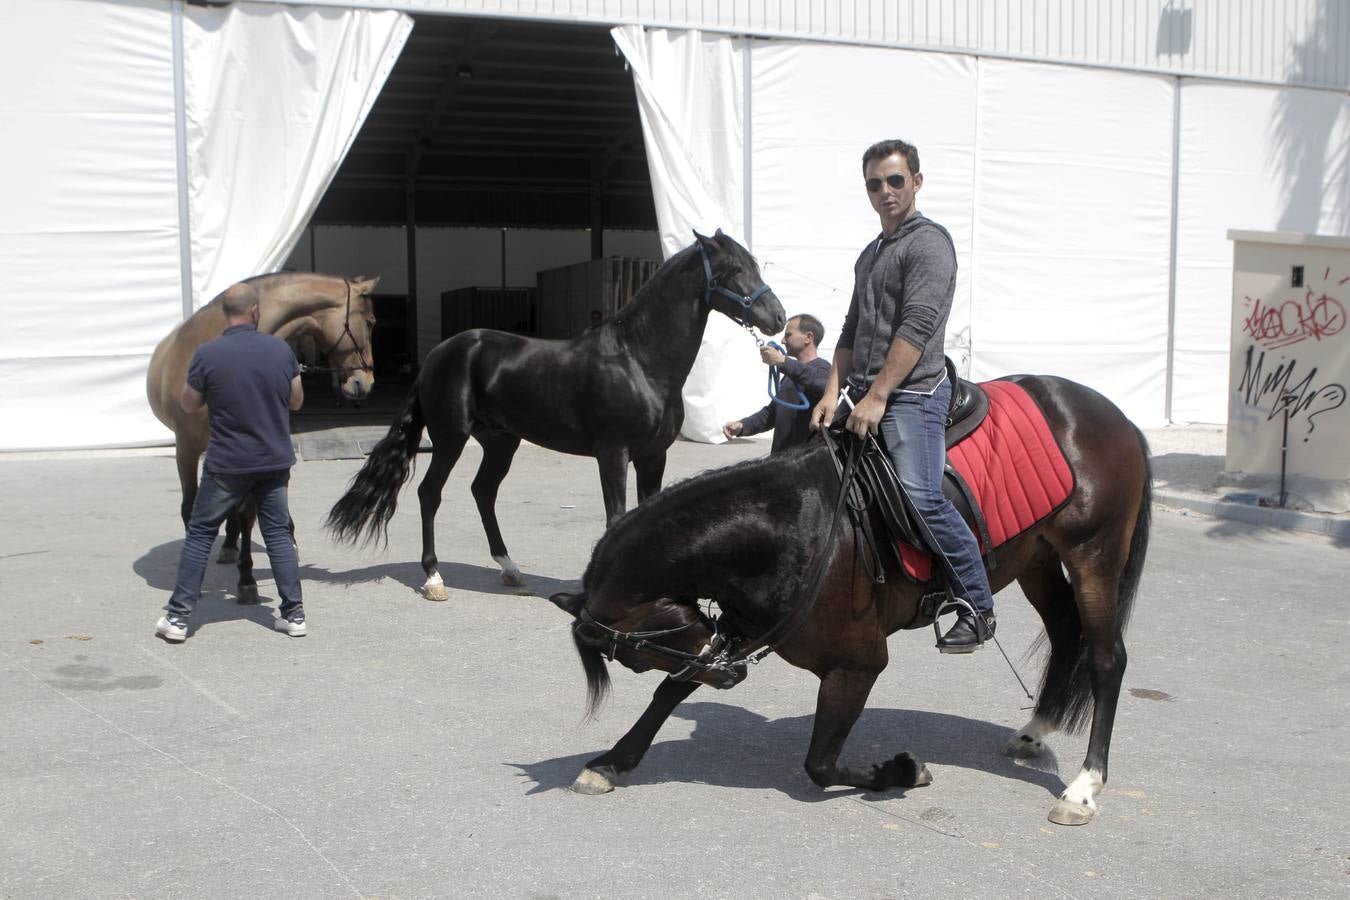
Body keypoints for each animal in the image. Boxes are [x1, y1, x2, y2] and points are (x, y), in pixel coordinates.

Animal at [148, 271, 380, 601]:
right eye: (371, 322)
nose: (366, 382)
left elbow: (247, 513)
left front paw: (247, 578)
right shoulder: (186, 447)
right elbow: (190, 507)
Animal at [328, 230, 788, 599]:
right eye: (735, 270)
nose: (778, 317)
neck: (639, 359)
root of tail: (439, 355)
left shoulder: (653, 456)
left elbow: (648, 512)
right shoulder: (613, 454)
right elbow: (617, 516)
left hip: (501, 441)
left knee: (483, 492)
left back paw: (511, 570)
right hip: (449, 439)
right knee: (430, 493)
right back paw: (434, 578)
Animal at [548, 377, 1150, 825]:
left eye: (636, 654)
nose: (729, 675)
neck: (787, 525)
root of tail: (1110, 414)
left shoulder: (856, 665)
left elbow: (819, 764)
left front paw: (904, 772)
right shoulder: (734, 633)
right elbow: (670, 693)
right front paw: (612, 762)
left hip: (1094, 554)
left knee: (1105, 659)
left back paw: (1084, 787)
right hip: (1038, 561)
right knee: (1066, 634)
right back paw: (1035, 731)